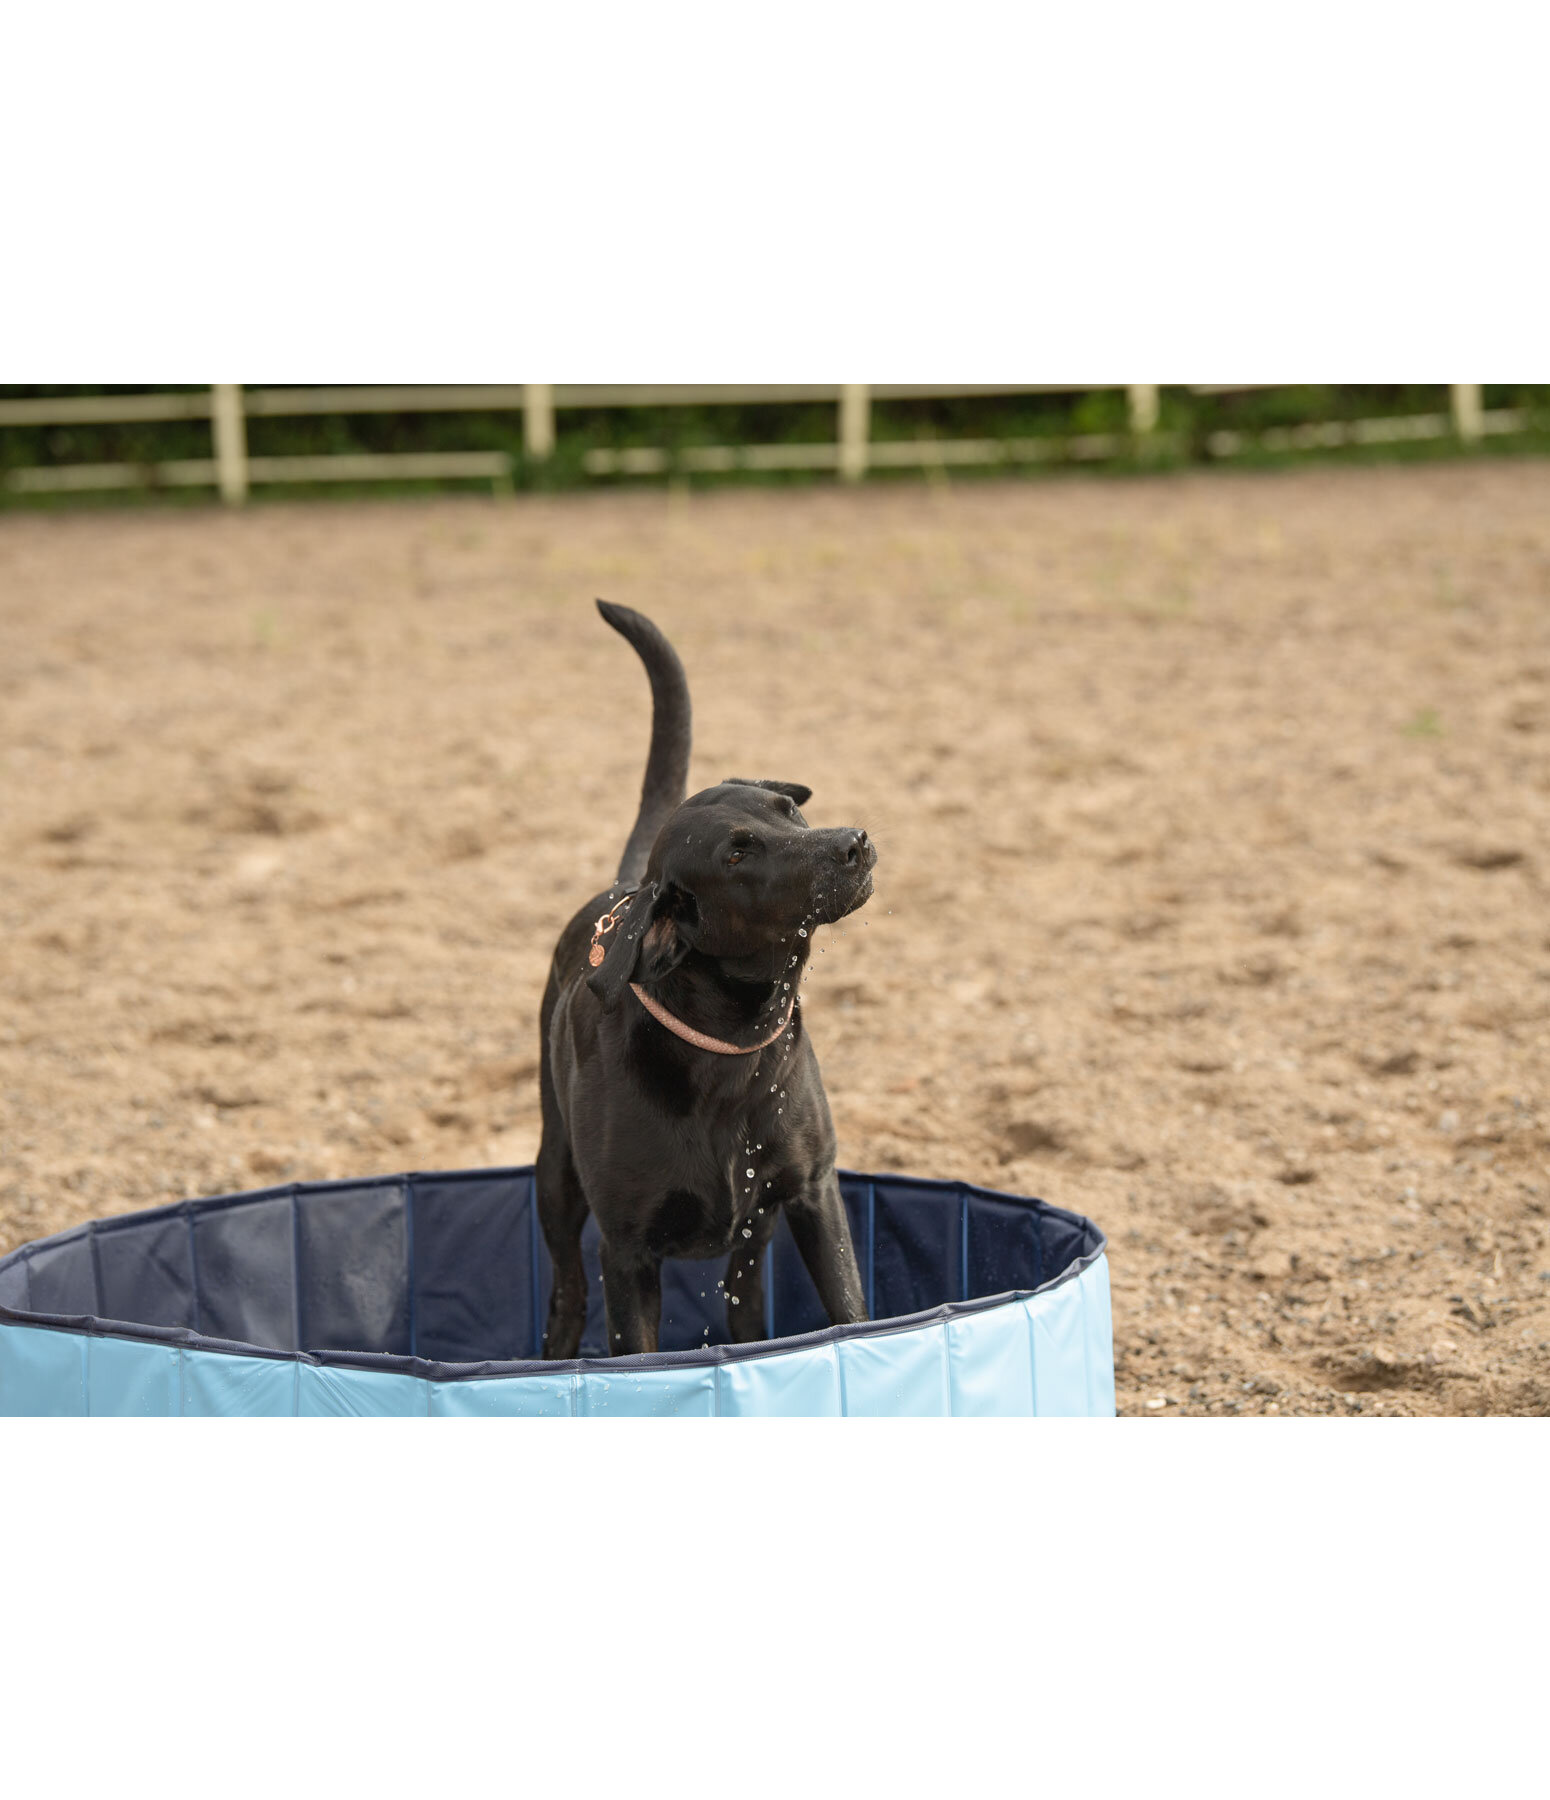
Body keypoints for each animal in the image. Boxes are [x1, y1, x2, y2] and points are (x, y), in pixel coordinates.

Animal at [536, 597, 878, 1353]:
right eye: (737, 855)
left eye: (788, 809)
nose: (855, 842)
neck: (730, 1045)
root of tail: (628, 888)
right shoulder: (627, 1250)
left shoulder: (814, 1194)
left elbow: (850, 1313)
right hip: (556, 1177)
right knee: (567, 1291)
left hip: (753, 1235)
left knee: (745, 1307)